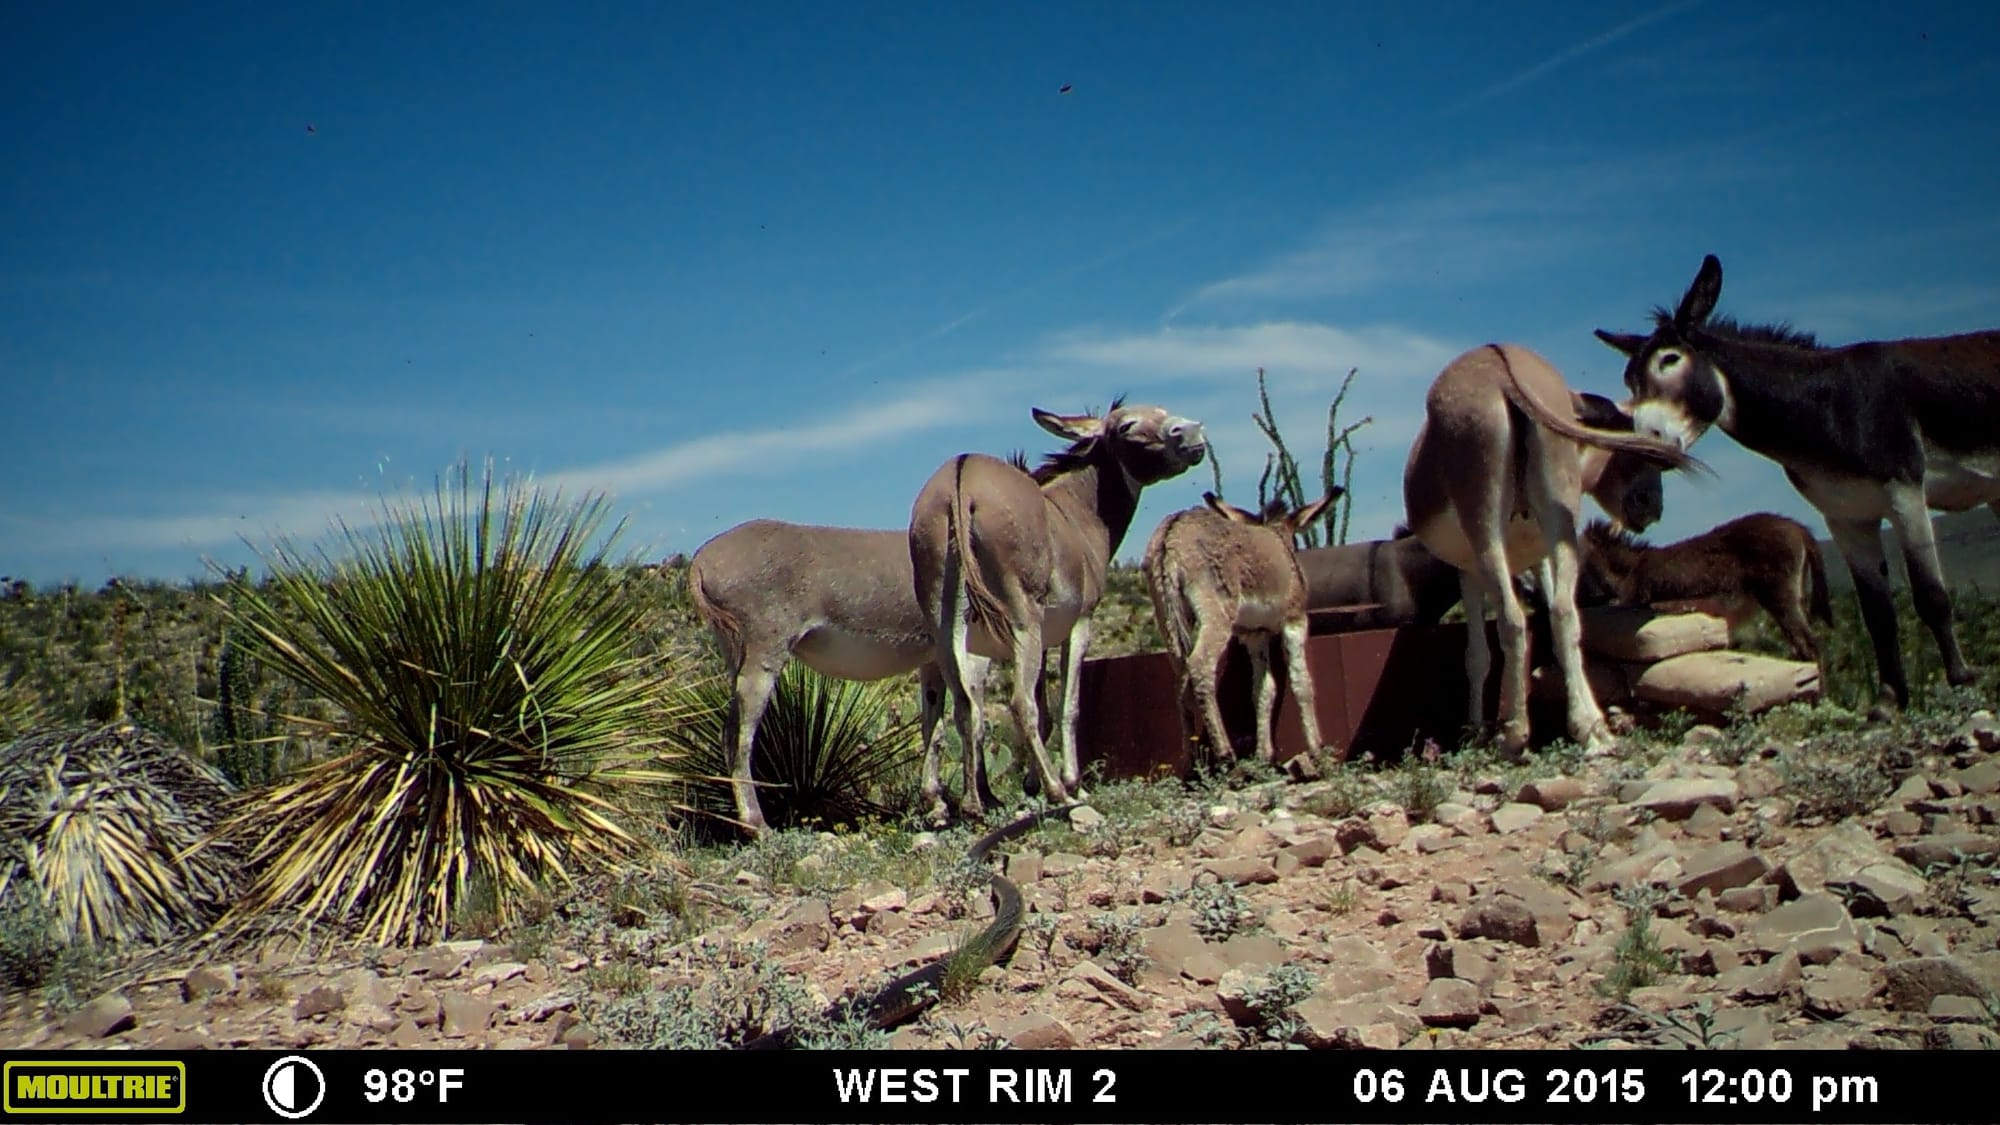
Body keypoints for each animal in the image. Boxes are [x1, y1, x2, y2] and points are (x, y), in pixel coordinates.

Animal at [908, 400, 1200, 812]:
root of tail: (959, 478)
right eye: (1126, 426)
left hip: (945, 621)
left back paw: (971, 804)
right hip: (1021, 616)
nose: (1191, 432)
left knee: (965, 707)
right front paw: (1072, 782)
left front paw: (1031, 783)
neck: (1079, 512)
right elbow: (1068, 705)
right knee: (1017, 702)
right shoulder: (1080, 623)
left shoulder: (1044, 638)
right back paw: (1056, 791)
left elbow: (1045, 708)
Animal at [1152, 492, 1336, 764]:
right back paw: (1225, 752)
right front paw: (1317, 750)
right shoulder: (1295, 620)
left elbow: (1263, 689)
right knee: (1200, 666)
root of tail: (1173, 531)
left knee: (1181, 678)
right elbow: (1302, 682)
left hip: (1168, 617)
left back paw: (1191, 759)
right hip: (1217, 614)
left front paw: (1263, 755)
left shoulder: (1255, 634)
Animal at [1408, 342, 1704, 756]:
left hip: (1486, 530)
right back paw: (1591, 729)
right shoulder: (1536, 557)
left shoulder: (1470, 571)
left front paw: (1477, 729)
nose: (1651, 507)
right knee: (1564, 613)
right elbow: (1548, 622)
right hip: (1559, 526)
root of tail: (1501, 364)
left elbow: (1477, 654)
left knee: (1513, 621)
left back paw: (1514, 736)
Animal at [1576, 516, 1832, 664]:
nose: (1579, 598)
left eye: (1578, 559)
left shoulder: (1632, 599)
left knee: (1810, 645)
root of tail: (1798, 527)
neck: (1630, 568)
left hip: (1779, 595)